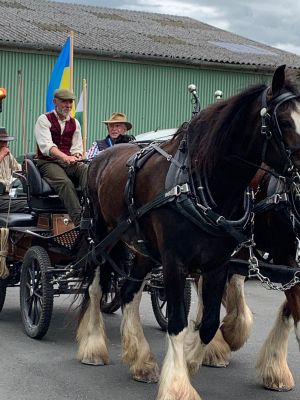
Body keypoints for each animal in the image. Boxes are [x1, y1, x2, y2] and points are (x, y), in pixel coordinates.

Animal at [76, 66, 300, 400]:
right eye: (284, 121)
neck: (200, 184)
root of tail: (100, 157)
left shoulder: (220, 262)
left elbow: (208, 322)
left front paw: (194, 360)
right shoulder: (175, 262)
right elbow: (178, 321)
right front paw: (178, 385)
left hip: (143, 248)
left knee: (129, 292)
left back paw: (141, 361)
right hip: (102, 238)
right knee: (96, 287)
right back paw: (93, 347)